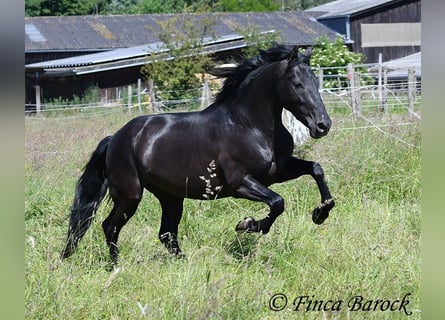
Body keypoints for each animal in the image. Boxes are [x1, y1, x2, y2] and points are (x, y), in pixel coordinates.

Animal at [61, 45, 332, 264]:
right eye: (297, 84)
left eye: (316, 83)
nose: (323, 125)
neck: (248, 125)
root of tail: (115, 138)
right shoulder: (240, 183)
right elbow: (277, 202)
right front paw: (247, 224)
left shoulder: (278, 172)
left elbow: (316, 169)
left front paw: (321, 213)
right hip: (130, 195)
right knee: (110, 226)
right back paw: (116, 266)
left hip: (170, 196)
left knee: (166, 233)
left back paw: (183, 262)